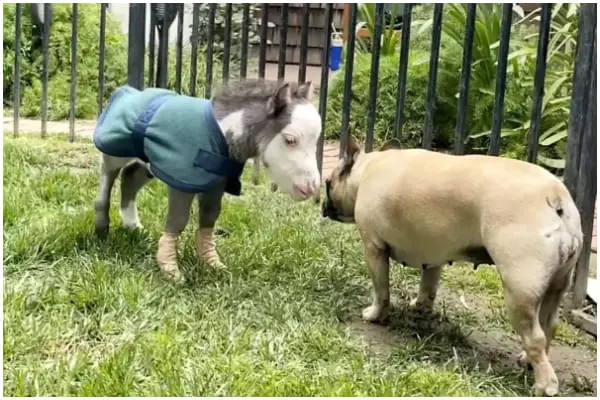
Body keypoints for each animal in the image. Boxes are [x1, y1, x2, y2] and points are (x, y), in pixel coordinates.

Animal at [322, 136, 584, 396]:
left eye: (328, 183)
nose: (323, 205)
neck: (367, 168)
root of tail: (556, 198)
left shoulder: (373, 248)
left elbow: (381, 291)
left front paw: (374, 315)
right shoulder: (433, 254)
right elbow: (428, 285)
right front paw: (420, 306)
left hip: (519, 289)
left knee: (535, 337)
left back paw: (545, 385)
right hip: (556, 284)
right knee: (549, 325)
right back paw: (528, 360)